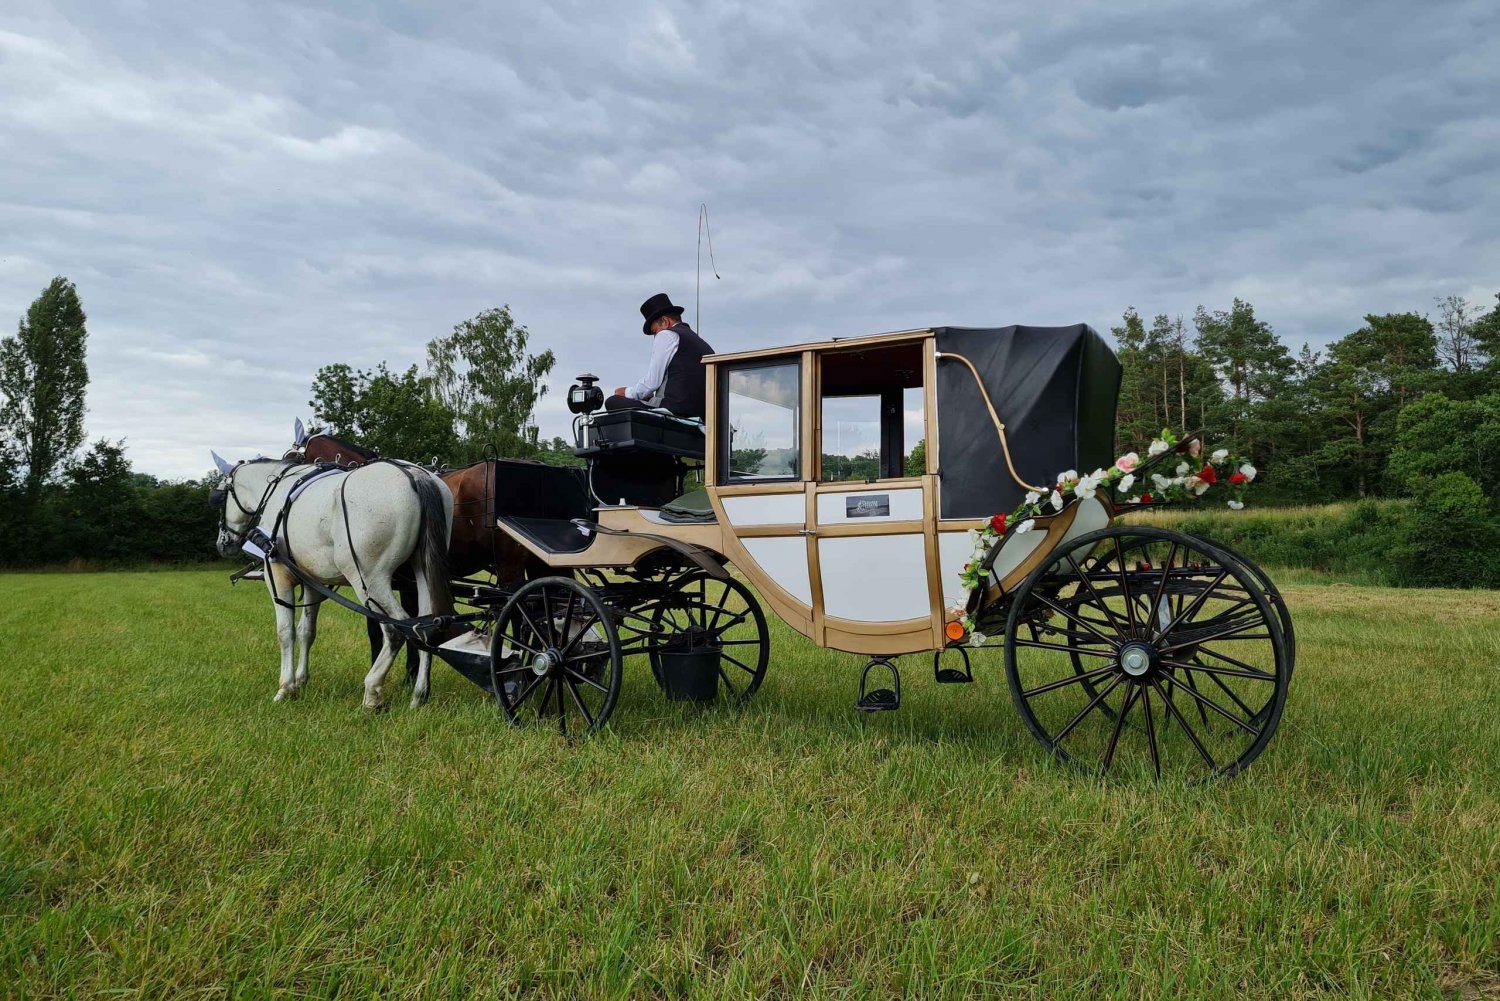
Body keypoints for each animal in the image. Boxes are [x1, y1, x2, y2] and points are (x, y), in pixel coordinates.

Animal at [213, 456, 450, 711]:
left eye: (219, 496)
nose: (222, 544)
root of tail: (416, 475)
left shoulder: (277, 576)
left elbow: (285, 633)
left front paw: (285, 688)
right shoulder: (312, 582)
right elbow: (307, 631)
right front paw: (301, 681)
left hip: (369, 579)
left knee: (395, 629)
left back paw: (372, 692)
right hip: (422, 571)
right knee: (425, 627)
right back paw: (419, 695)